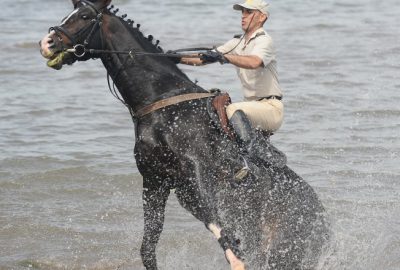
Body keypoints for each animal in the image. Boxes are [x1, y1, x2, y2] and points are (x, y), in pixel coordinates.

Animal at [39, 1, 328, 268]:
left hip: (284, 252)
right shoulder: (155, 181)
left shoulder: (197, 174)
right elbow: (148, 247)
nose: (47, 43)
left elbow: (222, 232)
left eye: (85, 16)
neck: (162, 102)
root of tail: (325, 226)